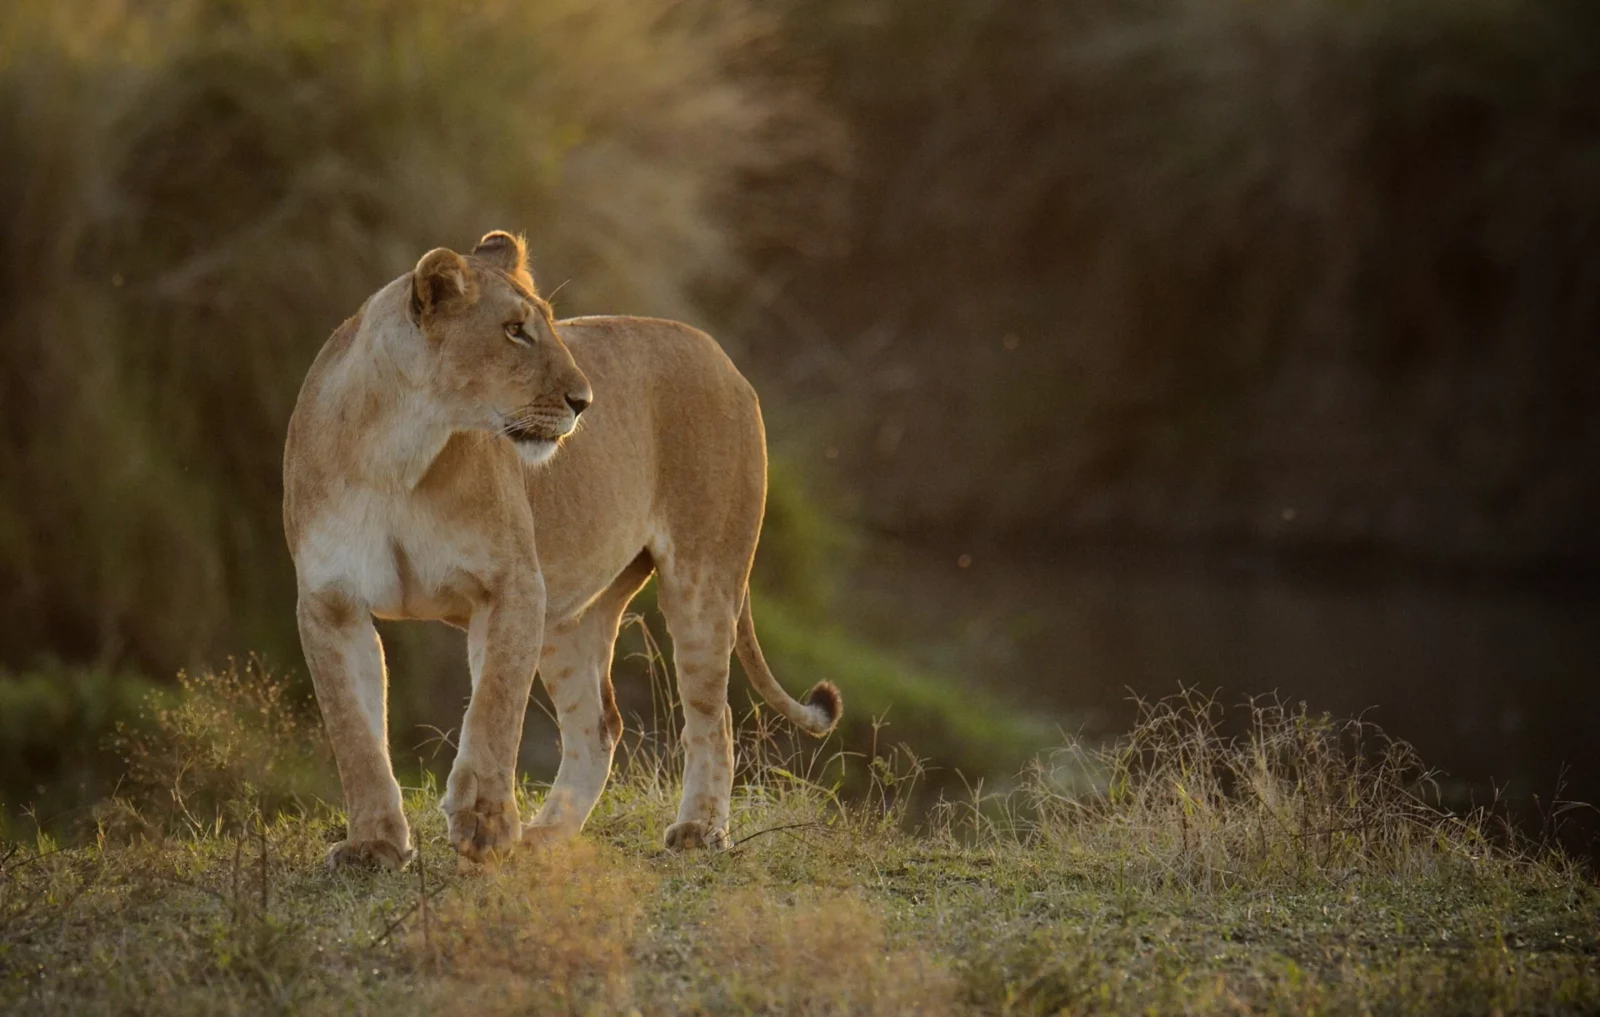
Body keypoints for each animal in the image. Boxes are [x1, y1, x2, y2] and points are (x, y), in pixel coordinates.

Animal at [283, 231, 841, 870]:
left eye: (549, 326)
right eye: (514, 331)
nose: (585, 400)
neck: (399, 452)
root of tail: (719, 354)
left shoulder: (512, 586)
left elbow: (493, 709)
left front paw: (484, 827)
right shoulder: (329, 602)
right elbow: (354, 731)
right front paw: (372, 845)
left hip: (702, 578)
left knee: (711, 714)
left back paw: (698, 830)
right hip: (568, 615)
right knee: (598, 727)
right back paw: (545, 836)